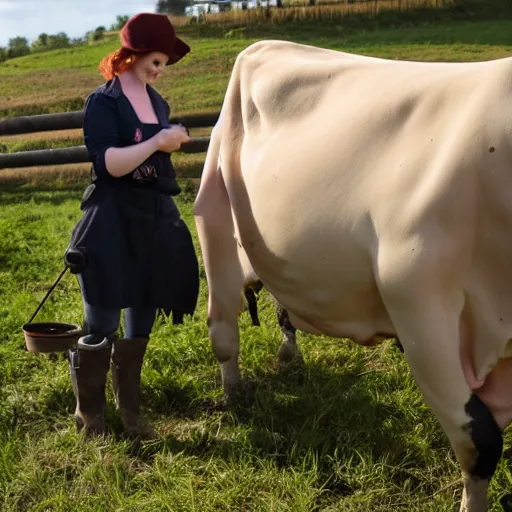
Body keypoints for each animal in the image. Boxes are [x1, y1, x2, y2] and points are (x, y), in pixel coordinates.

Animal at [192, 41, 512, 512]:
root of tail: (265, 45)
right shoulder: (419, 307)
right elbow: (480, 440)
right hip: (213, 216)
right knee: (223, 329)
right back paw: (234, 396)